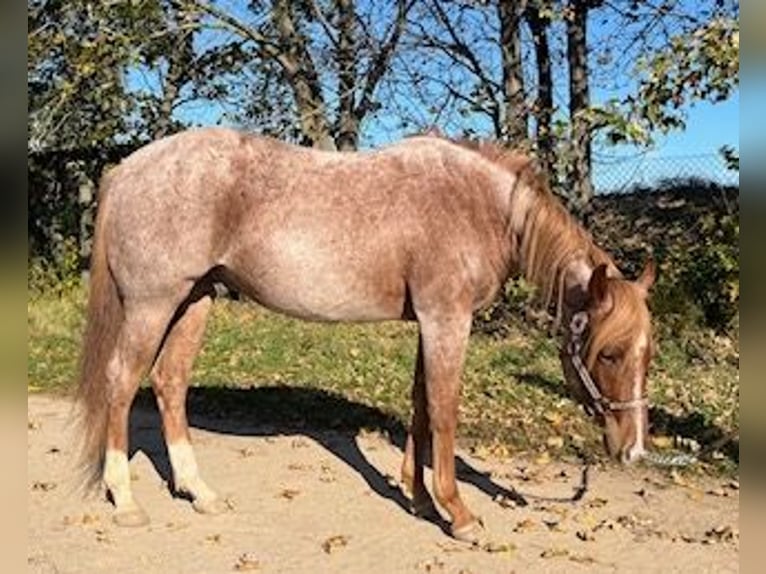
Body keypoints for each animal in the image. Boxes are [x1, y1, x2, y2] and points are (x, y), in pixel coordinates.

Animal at [76, 127, 656, 544]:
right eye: (609, 353)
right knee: (121, 382)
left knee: (169, 383)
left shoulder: (430, 322)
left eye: (647, 356)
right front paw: (459, 514)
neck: (478, 206)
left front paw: (419, 498)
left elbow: (419, 406)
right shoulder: (447, 319)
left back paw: (200, 492)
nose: (633, 450)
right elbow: (444, 411)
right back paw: (125, 500)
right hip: (153, 304)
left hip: (195, 299)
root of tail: (127, 169)